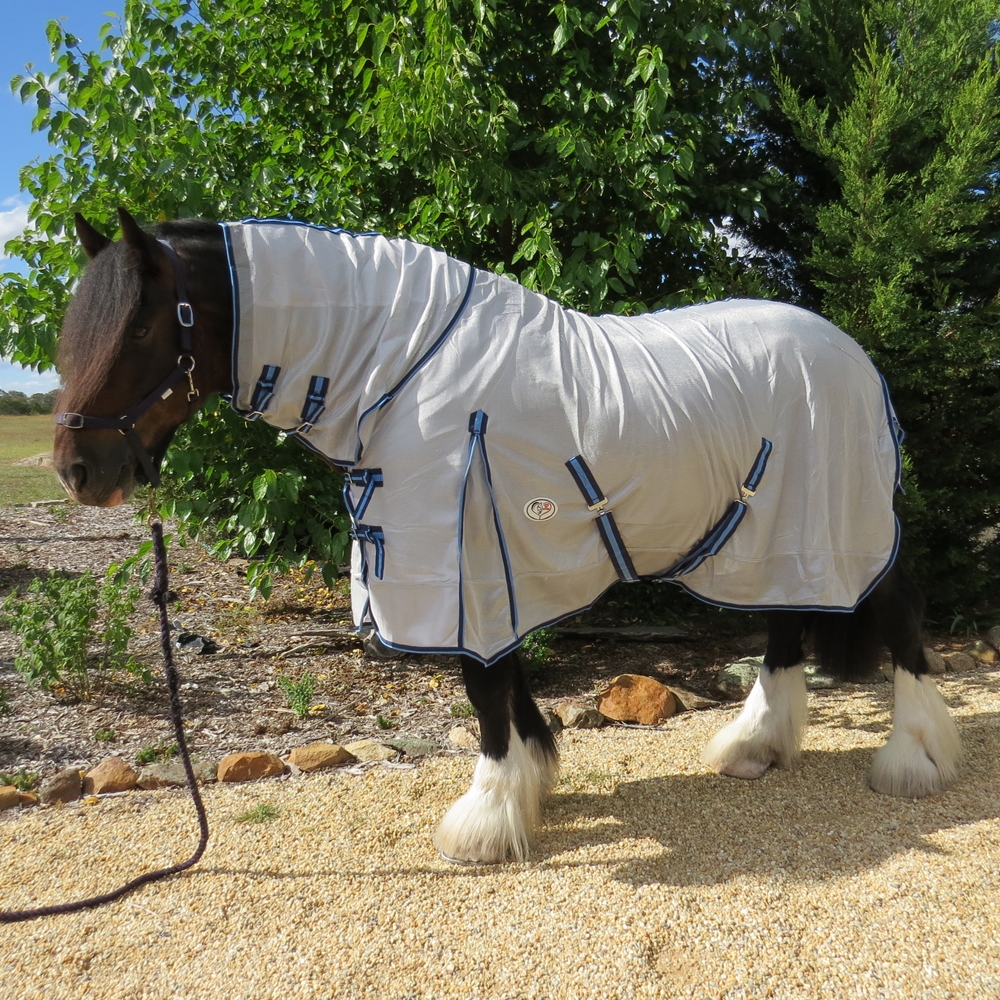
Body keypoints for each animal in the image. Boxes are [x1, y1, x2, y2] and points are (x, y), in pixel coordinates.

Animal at [52, 207, 961, 864]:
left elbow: (483, 689)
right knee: (783, 622)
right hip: (773, 536)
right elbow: (506, 678)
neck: (403, 373)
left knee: (900, 614)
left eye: (139, 326)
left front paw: (485, 819)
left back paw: (913, 760)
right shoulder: (493, 565)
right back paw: (754, 746)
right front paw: (531, 784)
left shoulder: (461, 558)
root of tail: (854, 355)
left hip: (842, 522)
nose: (78, 470)